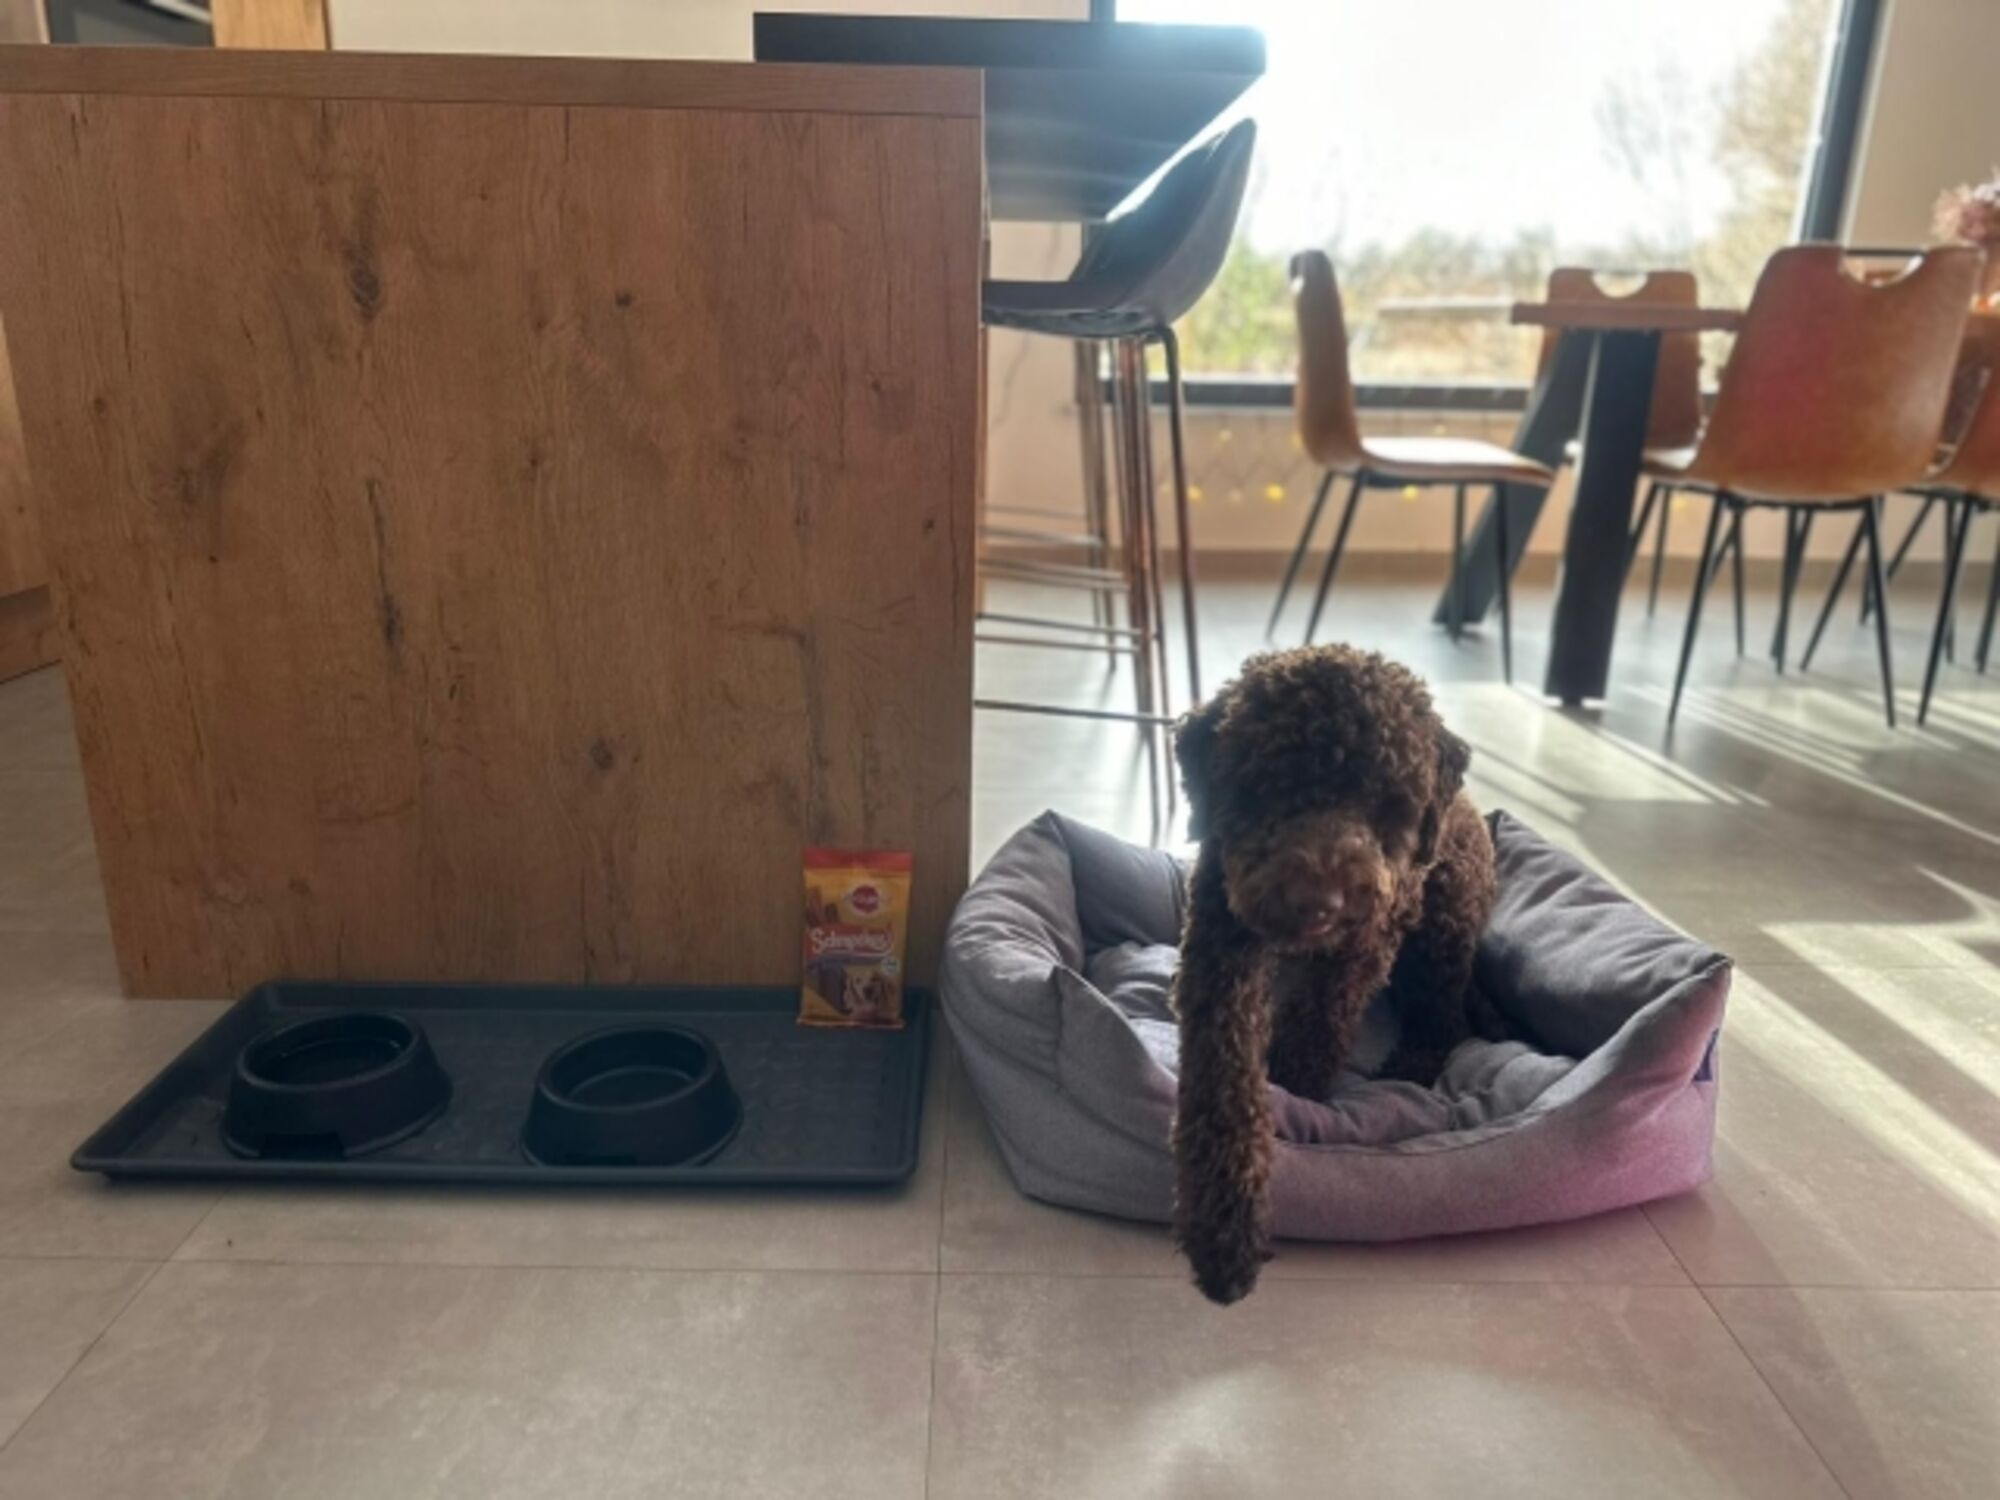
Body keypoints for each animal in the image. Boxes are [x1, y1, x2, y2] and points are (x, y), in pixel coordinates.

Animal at [1169, 644, 1497, 1304]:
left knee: (1446, 1019)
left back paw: (1413, 1063)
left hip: (1445, 921)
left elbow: (1321, 1019)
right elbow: (1221, 1074)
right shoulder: (1219, 947)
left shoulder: (1366, 941)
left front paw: (1295, 1088)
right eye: (1266, 784)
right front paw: (1223, 1226)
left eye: (1387, 802)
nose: (1318, 903)